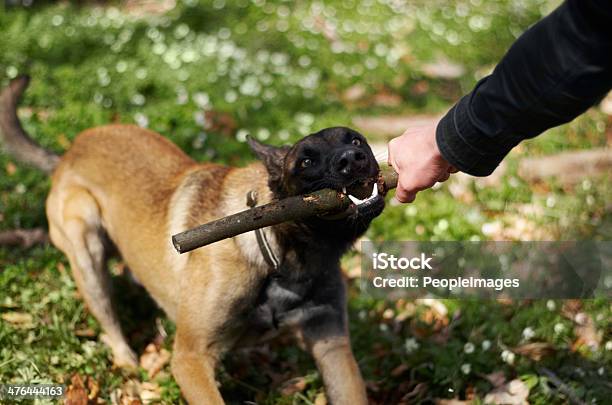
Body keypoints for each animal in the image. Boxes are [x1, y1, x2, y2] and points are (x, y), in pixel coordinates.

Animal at [0, 76, 382, 404]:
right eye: (305, 161)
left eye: (355, 140)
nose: (354, 159)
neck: (279, 253)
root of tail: (66, 155)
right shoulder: (190, 358)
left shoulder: (332, 346)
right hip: (86, 240)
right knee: (109, 319)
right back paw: (128, 365)